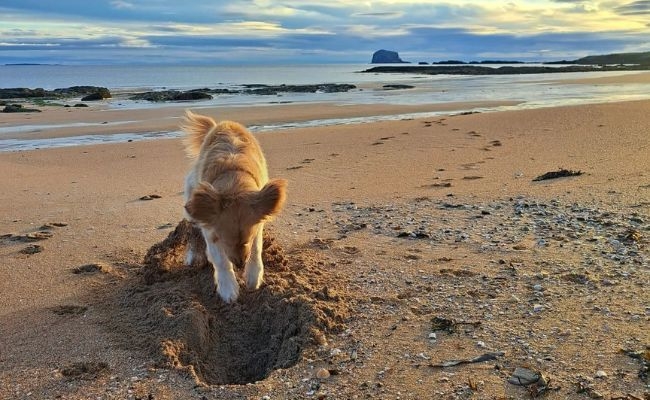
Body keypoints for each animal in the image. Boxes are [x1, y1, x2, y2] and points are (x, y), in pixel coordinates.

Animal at [181, 111, 284, 302]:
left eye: (247, 240)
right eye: (224, 241)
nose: (239, 264)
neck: (233, 178)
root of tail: (221, 123)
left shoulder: (259, 221)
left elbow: (256, 248)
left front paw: (253, 275)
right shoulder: (210, 229)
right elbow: (220, 260)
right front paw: (228, 286)